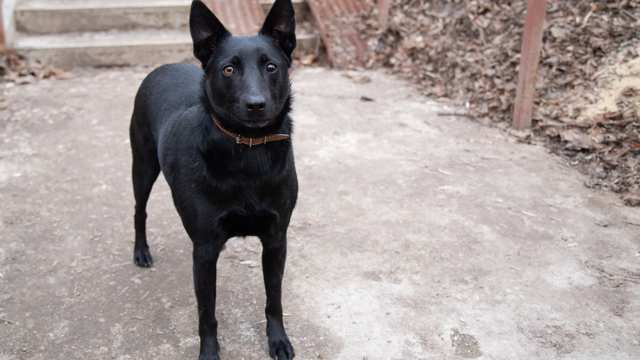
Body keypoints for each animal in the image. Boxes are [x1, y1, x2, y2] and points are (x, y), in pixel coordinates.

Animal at [130, 1, 300, 358]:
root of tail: (163, 67)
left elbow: (274, 299)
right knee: (139, 209)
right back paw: (141, 252)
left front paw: (278, 340)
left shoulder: (276, 240)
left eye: (271, 67)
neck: (248, 151)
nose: (255, 105)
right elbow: (207, 313)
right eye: (228, 70)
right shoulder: (206, 250)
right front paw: (209, 352)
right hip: (143, 166)